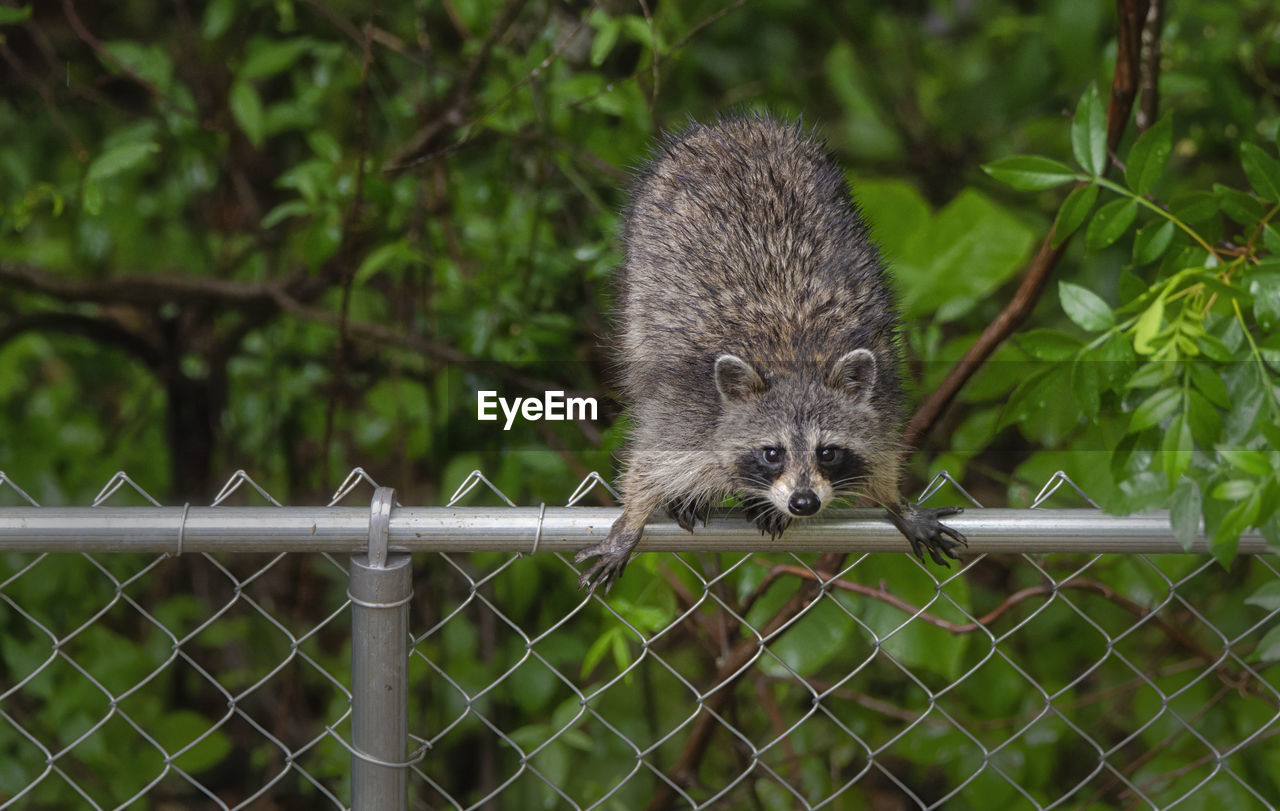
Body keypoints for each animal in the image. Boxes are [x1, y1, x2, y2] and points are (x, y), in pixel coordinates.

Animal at [576, 113, 962, 590]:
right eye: (771, 453)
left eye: (827, 452)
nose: (803, 503)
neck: (794, 362)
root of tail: (736, 126)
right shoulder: (687, 408)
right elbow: (648, 462)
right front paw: (631, 521)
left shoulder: (884, 393)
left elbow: (883, 453)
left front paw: (896, 502)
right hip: (638, 283)